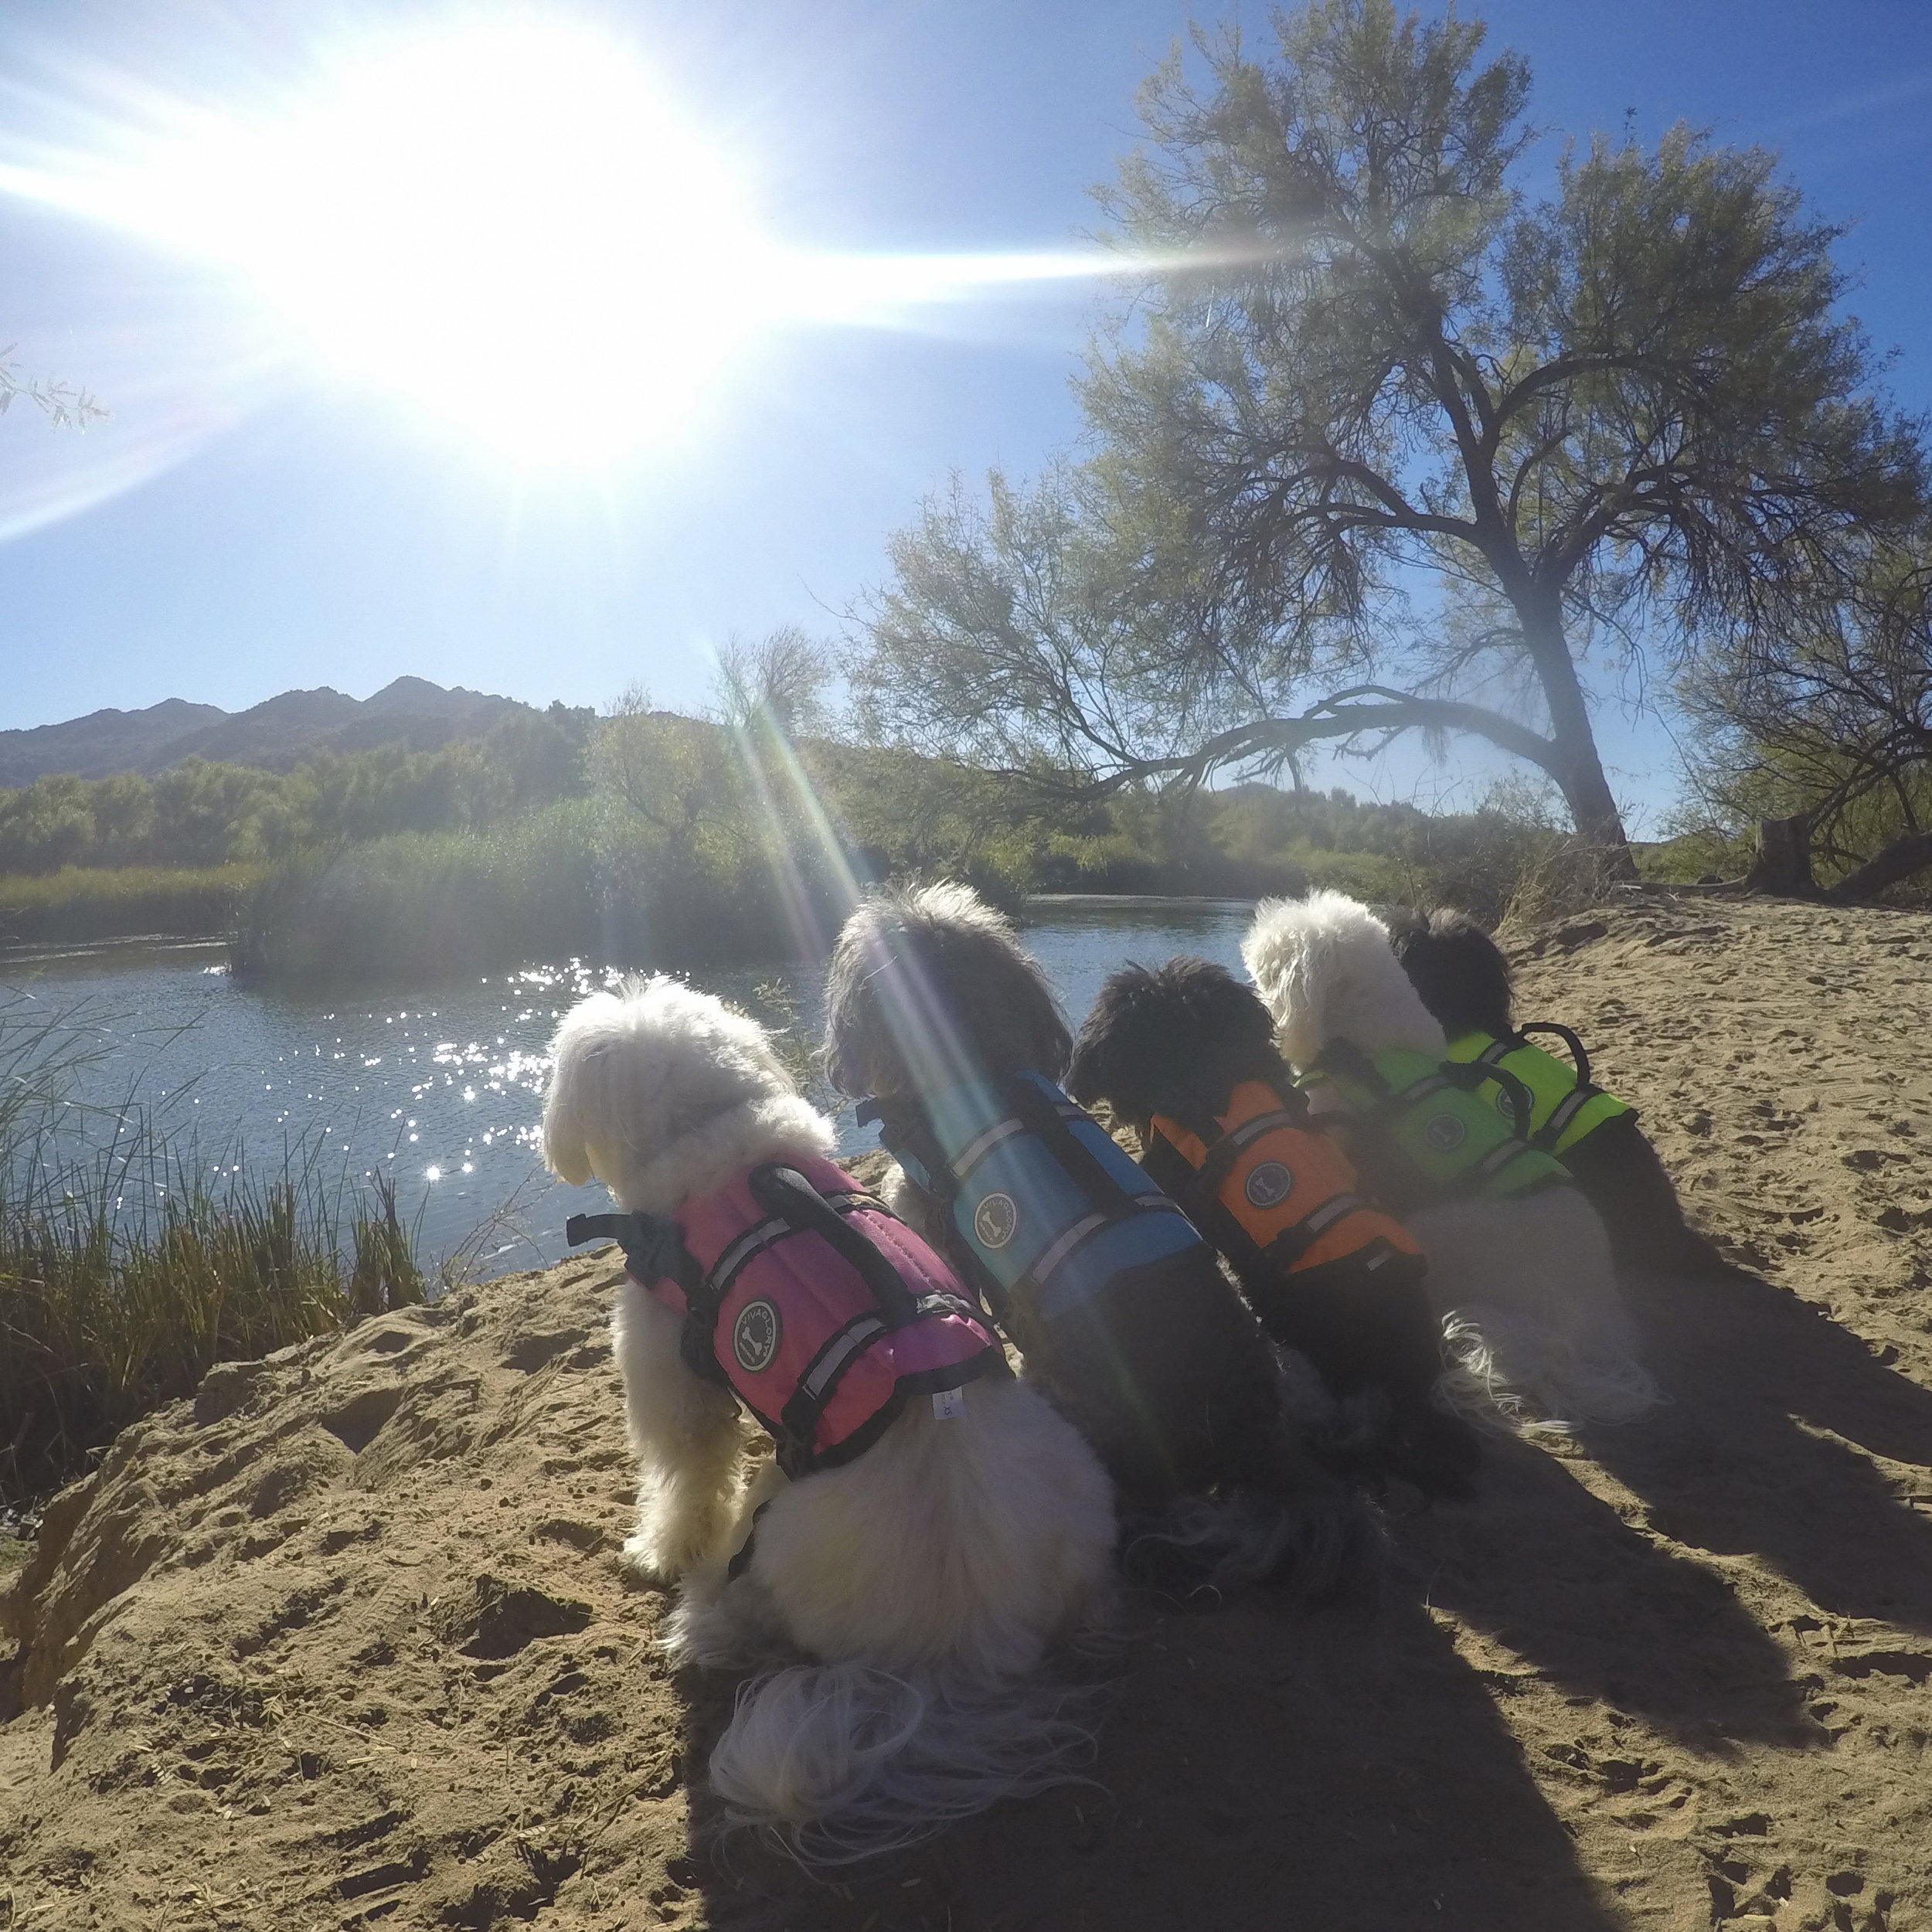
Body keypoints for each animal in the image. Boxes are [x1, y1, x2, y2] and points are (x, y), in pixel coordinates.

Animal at [545, 981, 1121, 1855]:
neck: (715, 1133)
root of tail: (959, 1650)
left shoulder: (673, 1382)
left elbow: (687, 1482)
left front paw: (657, 1551)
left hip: (771, 1529)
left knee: (739, 1601)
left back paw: (700, 1621)